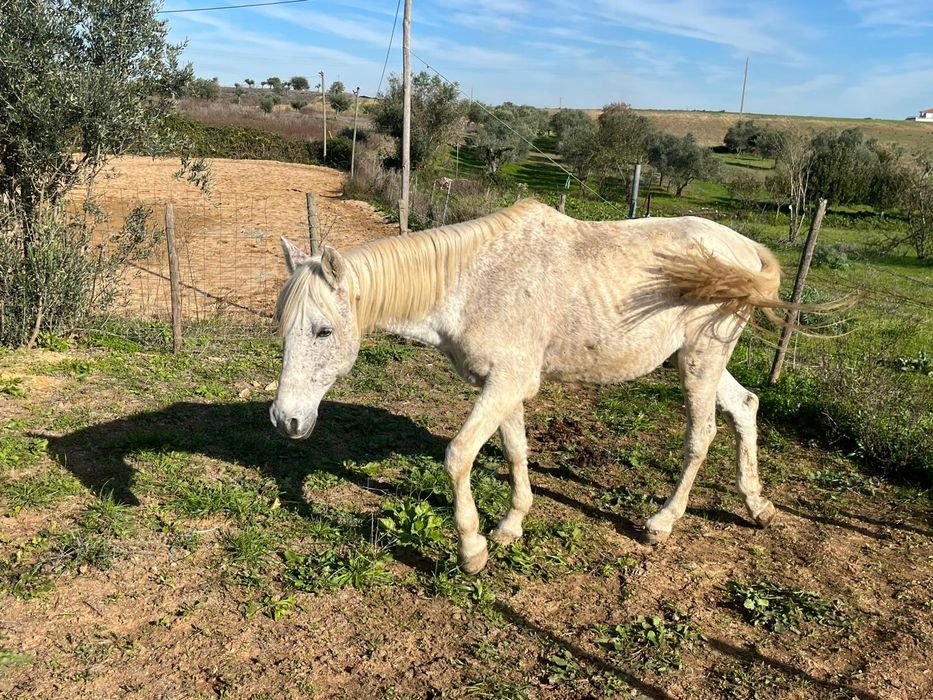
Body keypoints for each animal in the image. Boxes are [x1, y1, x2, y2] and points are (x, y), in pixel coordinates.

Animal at [271, 199, 792, 574]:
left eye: (323, 331)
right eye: (283, 327)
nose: (286, 419)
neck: (473, 284)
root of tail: (744, 247)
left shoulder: (506, 384)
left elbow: (459, 456)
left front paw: (472, 550)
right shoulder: (504, 387)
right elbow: (515, 450)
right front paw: (511, 524)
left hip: (701, 359)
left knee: (701, 435)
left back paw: (662, 522)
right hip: (698, 357)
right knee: (745, 406)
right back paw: (757, 505)